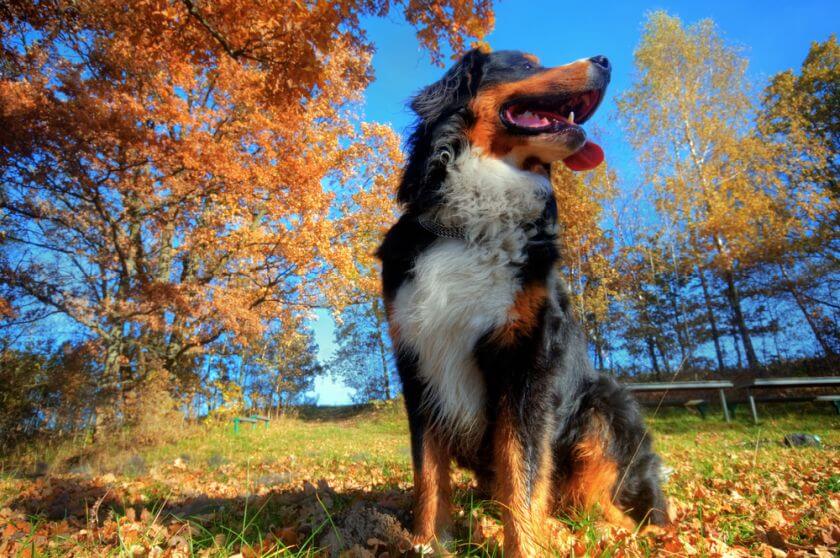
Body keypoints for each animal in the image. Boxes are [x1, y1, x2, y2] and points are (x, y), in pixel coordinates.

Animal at [378, 49, 668, 558]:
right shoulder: (419, 362)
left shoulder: (528, 365)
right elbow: (428, 475)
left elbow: (523, 474)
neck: (474, 224)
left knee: (607, 508)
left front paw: (526, 546)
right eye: (526, 64)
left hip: (603, 404)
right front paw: (429, 542)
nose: (605, 60)